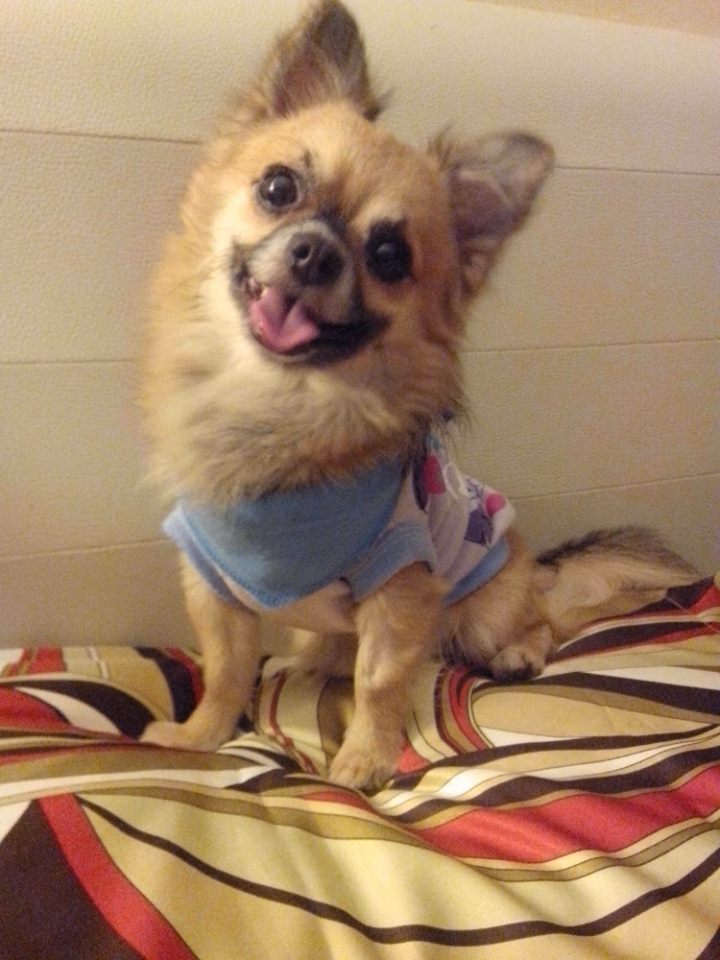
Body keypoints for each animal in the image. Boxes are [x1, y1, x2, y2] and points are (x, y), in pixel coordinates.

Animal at [140, 0, 696, 789]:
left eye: (389, 256)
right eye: (278, 188)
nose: (314, 251)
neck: (279, 409)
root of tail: (536, 567)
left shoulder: (401, 586)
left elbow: (378, 681)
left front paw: (362, 762)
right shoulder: (212, 586)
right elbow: (224, 670)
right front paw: (199, 738)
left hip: (486, 608)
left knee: (540, 625)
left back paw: (517, 652)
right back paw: (307, 661)